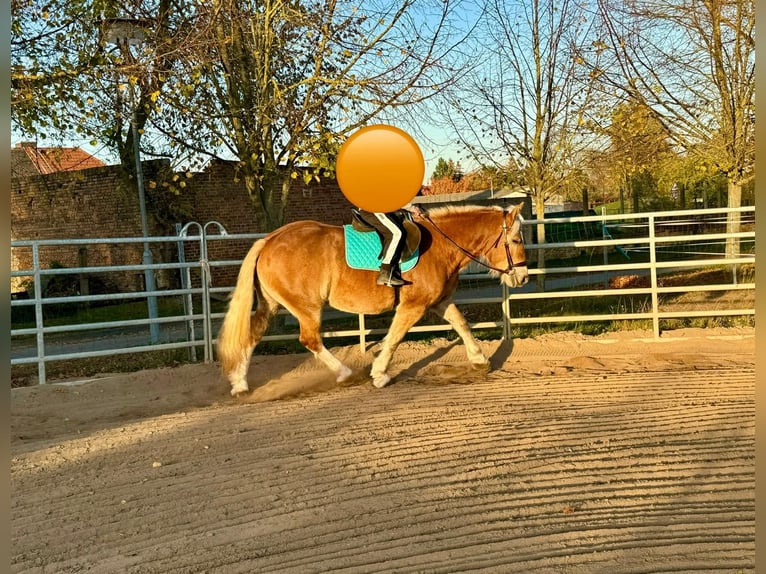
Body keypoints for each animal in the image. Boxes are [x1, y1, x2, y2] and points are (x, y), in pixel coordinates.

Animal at [214, 202, 528, 396]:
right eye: (516, 240)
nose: (523, 277)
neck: (440, 245)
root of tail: (268, 240)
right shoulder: (413, 306)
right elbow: (395, 337)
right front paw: (380, 373)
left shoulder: (439, 301)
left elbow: (461, 324)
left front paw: (480, 360)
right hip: (306, 306)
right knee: (310, 339)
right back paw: (345, 373)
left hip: (272, 304)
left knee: (252, 336)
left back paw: (239, 385)